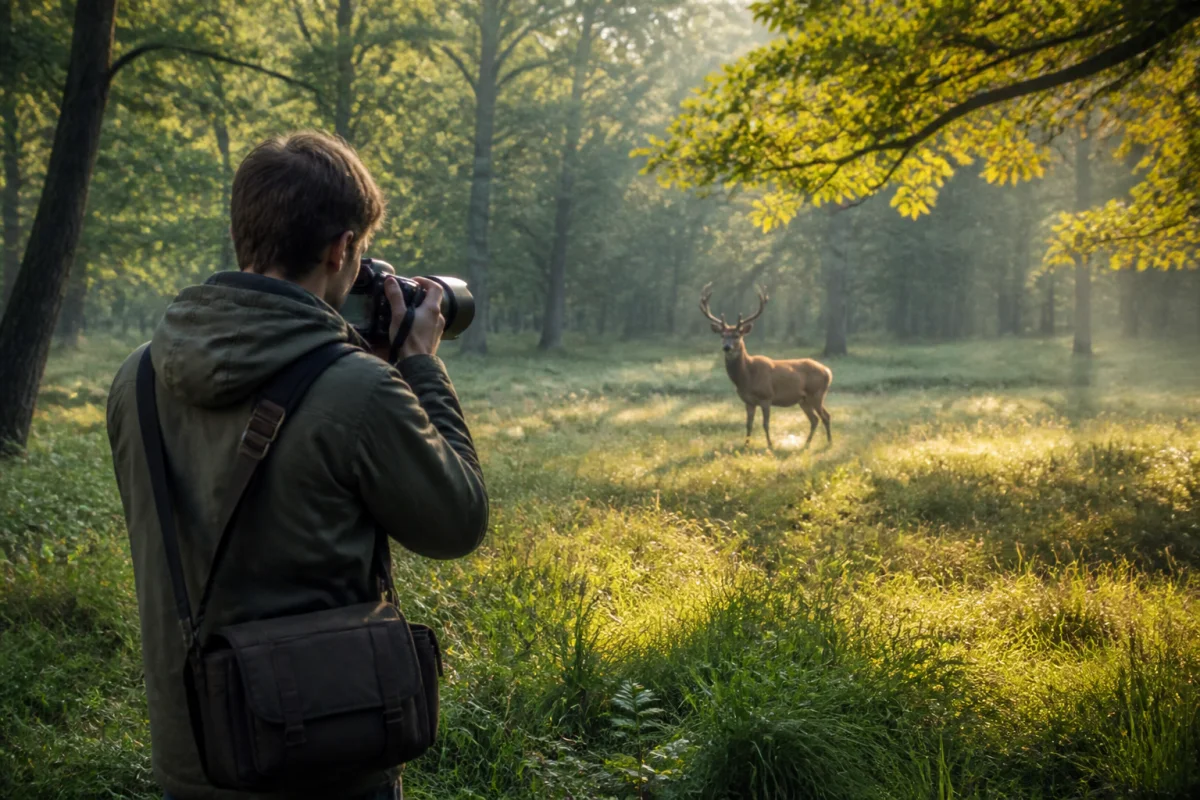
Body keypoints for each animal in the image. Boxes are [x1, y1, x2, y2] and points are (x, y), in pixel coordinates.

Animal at [699, 283, 832, 449]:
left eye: (737, 335)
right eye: (722, 335)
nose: (727, 347)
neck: (747, 377)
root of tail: (828, 371)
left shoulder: (766, 396)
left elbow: (765, 424)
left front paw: (770, 445)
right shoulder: (748, 401)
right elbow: (748, 424)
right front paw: (746, 445)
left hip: (817, 393)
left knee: (826, 416)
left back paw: (829, 443)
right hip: (804, 399)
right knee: (815, 419)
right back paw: (807, 444)